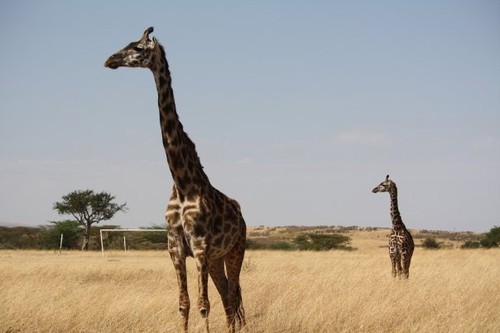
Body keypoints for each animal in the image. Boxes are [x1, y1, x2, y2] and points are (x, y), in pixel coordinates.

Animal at [105, 27, 246, 330]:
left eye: (138, 47)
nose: (109, 60)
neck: (183, 184)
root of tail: (242, 217)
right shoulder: (175, 248)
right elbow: (185, 304)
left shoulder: (200, 246)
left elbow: (204, 306)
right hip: (217, 259)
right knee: (229, 298)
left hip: (235, 250)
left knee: (232, 296)